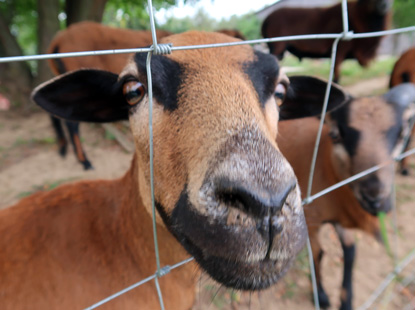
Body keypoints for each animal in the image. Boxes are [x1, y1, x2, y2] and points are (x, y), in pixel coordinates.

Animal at [278, 82, 415, 310]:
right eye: (335, 135)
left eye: (402, 135)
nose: (375, 200)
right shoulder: (311, 220)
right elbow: (318, 255)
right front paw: (322, 296)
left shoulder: (341, 217)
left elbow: (350, 252)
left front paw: (346, 301)